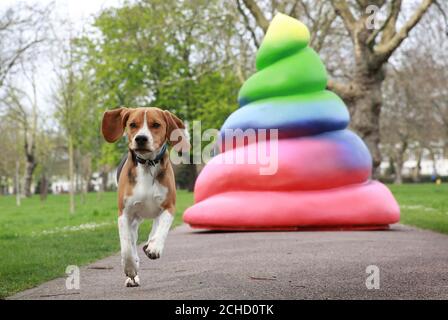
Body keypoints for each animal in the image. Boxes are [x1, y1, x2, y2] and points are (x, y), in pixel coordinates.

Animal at [101, 106, 189, 286]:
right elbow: (126, 247)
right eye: (132, 124)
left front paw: (154, 247)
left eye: (156, 125)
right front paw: (130, 268)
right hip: (134, 221)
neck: (148, 164)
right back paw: (132, 275)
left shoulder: (169, 207)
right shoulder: (124, 214)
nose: (141, 138)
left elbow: (161, 230)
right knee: (132, 242)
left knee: (154, 229)